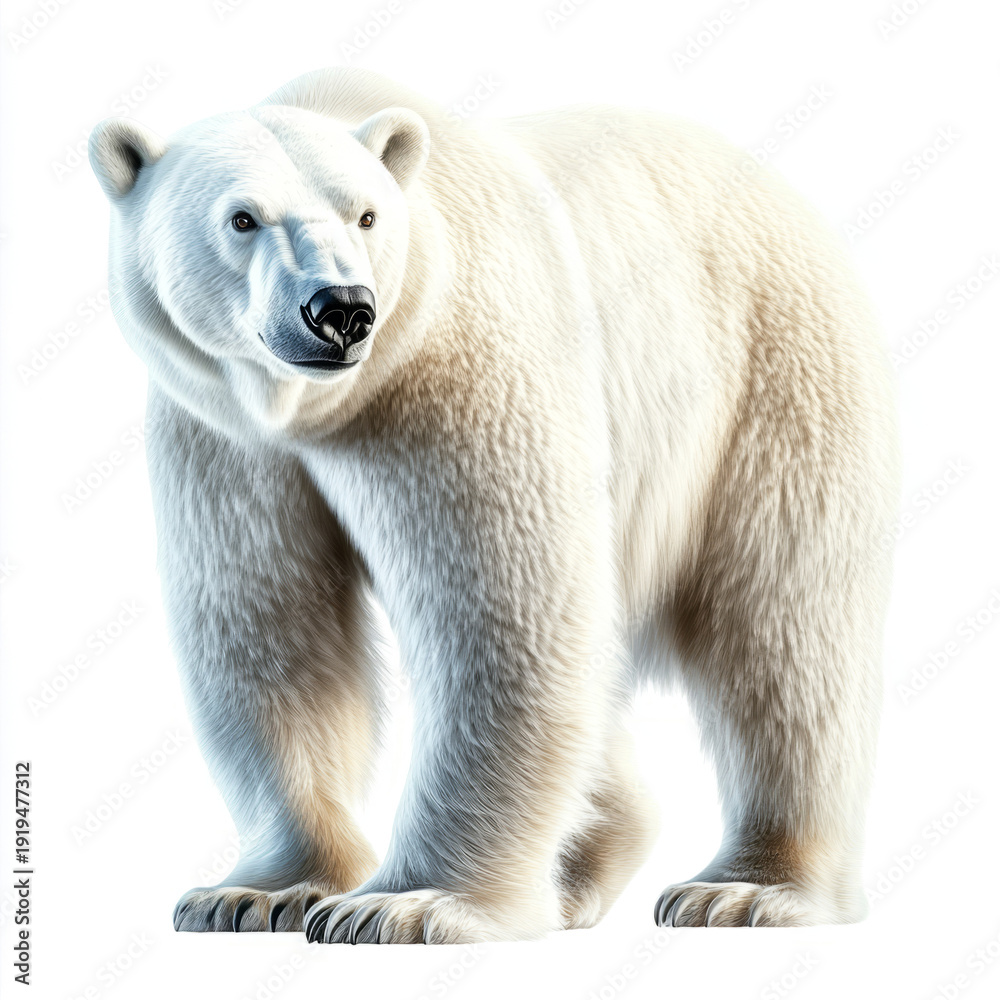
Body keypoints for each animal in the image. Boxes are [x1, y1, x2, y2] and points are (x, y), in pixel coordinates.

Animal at [88, 67, 898, 943]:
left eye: (366, 214)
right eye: (242, 217)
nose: (341, 310)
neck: (327, 407)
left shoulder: (461, 365)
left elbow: (502, 606)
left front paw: (405, 904)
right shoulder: (222, 435)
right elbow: (269, 623)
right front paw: (257, 893)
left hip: (770, 372)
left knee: (783, 628)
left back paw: (747, 889)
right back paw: (580, 870)